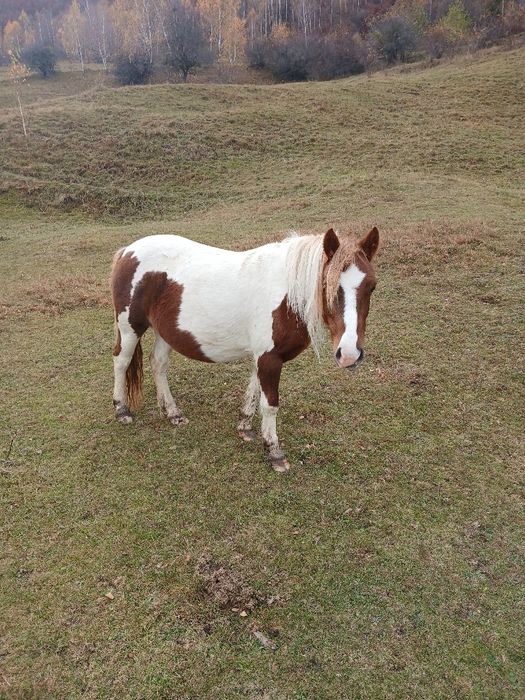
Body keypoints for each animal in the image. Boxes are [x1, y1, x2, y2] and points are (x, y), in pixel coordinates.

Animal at [111, 226, 379, 472]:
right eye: (327, 283)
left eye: (372, 286)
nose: (349, 354)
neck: (286, 293)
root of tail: (127, 251)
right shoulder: (269, 358)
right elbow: (270, 404)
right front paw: (274, 451)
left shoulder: (262, 357)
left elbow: (253, 390)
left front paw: (245, 427)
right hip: (130, 327)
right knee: (121, 362)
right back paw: (121, 409)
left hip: (165, 332)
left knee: (158, 364)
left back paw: (172, 412)